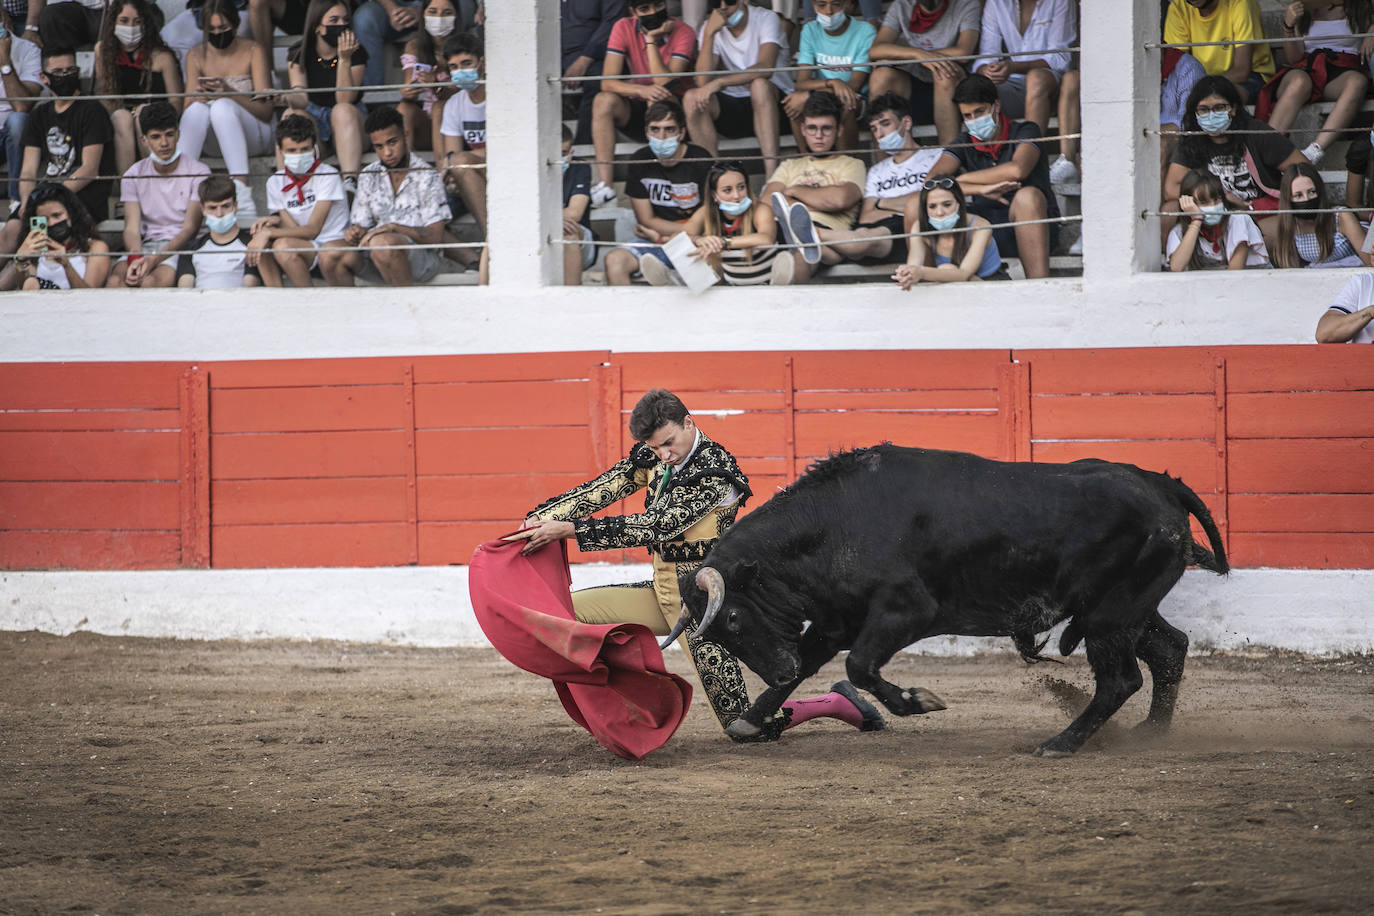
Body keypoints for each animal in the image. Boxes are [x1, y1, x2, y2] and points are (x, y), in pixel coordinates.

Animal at [665, 444, 1236, 758]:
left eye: (732, 616)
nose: (775, 670)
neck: (836, 523)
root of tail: (1160, 483)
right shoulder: (835, 621)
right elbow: (815, 664)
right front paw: (750, 720)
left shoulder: (904, 612)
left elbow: (859, 665)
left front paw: (917, 700)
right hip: (1127, 610)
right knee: (1169, 649)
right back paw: (1150, 734)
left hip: (1109, 615)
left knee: (1121, 679)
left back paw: (1060, 744)